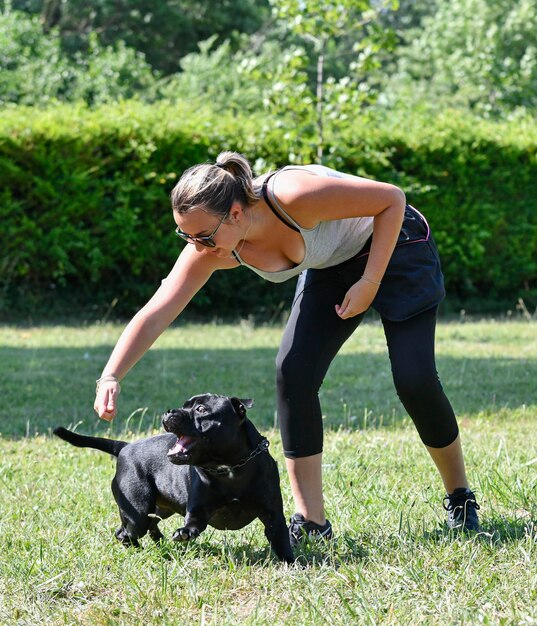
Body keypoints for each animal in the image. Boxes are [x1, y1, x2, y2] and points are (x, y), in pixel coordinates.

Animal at [54, 394, 294, 560]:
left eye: (201, 409)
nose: (169, 412)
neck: (230, 468)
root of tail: (125, 447)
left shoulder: (273, 516)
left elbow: (282, 542)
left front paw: (291, 565)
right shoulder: (197, 513)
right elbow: (192, 525)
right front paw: (184, 533)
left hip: (159, 508)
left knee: (139, 527)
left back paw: (159, 544)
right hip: (138, 510)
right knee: (126, 533)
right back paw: (140, 552)